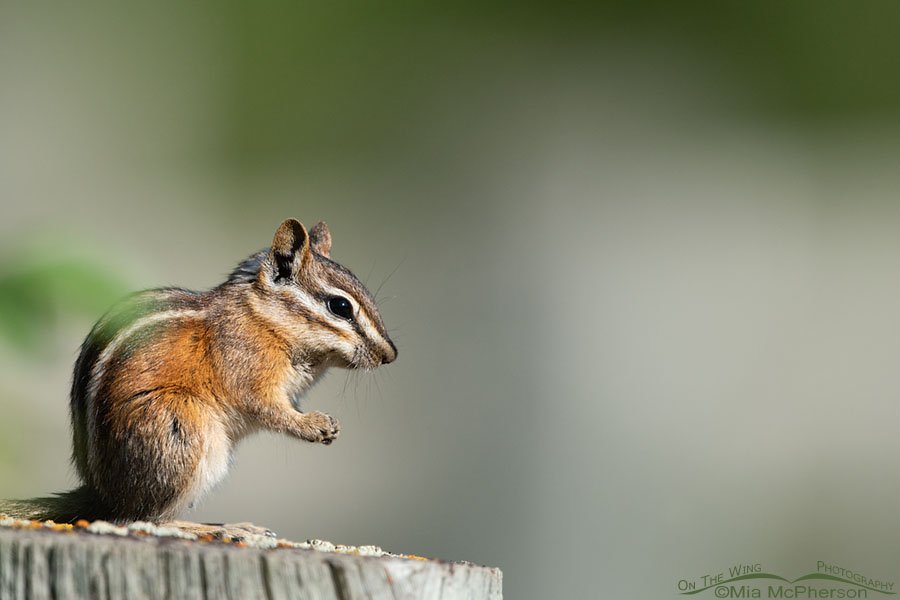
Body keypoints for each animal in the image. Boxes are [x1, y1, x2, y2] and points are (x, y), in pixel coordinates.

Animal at [0, 218, 396, 538]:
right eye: (340, 306)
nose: (390, 354)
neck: (263, 318)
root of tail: (99, 495)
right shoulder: (247, 371)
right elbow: (268, 409)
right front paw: (314, 425)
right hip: (184, 430)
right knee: (139, 518)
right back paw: (222, 528)